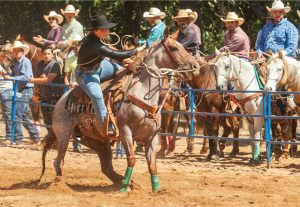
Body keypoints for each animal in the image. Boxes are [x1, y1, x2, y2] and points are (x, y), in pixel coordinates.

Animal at [40, 30, 199, 192]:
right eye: (174, 48)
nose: (195, 65)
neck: (141, 92)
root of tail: (60, 102)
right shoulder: (125, 132)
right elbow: (132, 159)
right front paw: (124, 188)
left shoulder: (152, 136)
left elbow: (152, 164)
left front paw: (156, 189)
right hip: (64, 135)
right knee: (58, 161)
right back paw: (59, 184)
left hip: (98, 141)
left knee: (106, 167)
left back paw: (126, 182)